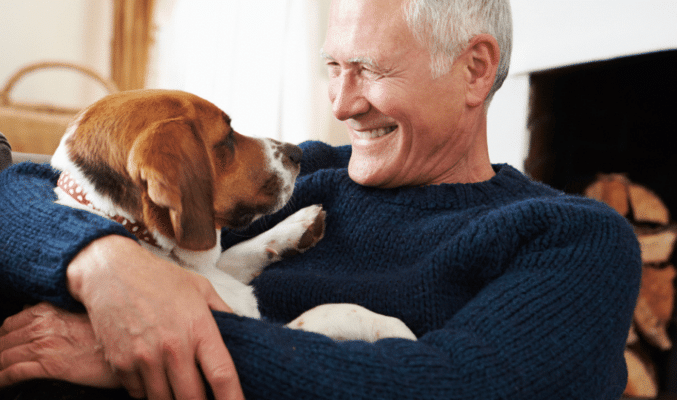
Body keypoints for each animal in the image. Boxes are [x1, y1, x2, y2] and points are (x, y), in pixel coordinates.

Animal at [52, 89, 414, 342]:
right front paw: (390, 326)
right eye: (227, 138)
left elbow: (239, 252)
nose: (297, 153)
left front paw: (297, 226)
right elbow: (326, 313)